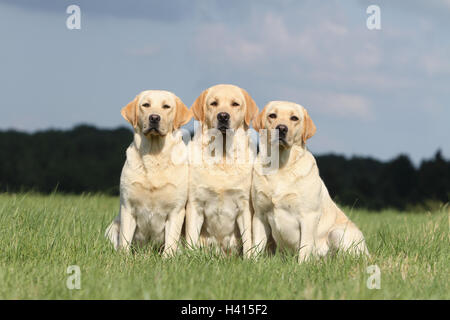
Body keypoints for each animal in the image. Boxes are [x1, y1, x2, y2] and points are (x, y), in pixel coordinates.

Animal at [106, 90, 192, 258]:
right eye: (146, 105)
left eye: (166, 106)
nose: (154, 118)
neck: (154, 154)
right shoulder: (128, 207)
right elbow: (125, 240)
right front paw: (124, 258)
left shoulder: (176, 211)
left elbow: (170, 242)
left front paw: (167, 259)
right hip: (112, 228)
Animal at [185, 84, 258, 256]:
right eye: (213, 103)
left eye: (235, 104)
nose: (223, 116)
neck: (223, 155)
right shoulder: (195, 204)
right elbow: (191, 237)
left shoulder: (244, 206)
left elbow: (248, 239)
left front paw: (250, 259)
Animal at [250, 102, 370, 262]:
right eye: (272, 115)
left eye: (294, 118)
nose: (281, 128)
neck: (281, 166)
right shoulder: (260, 215)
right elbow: (256, 246)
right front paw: (253, 263)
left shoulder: (308, 216)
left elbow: (305, 247)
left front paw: (301, 265)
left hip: (337, 233)